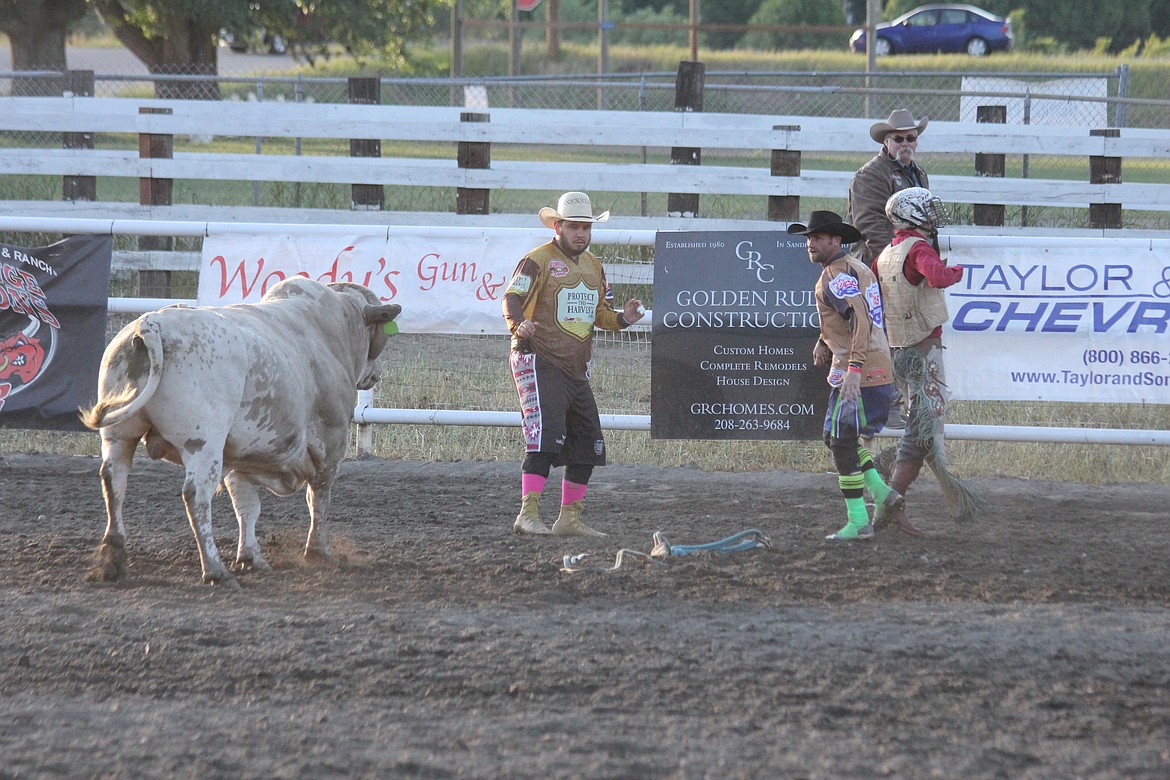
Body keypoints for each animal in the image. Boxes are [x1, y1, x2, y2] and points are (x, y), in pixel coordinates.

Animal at [81, 277, 402, 589]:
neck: (333, 328)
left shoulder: (239, 456)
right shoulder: (331, 441)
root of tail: (151, 323)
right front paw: (318, 552)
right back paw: (215, 570)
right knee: (196, 495)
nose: (377, 374)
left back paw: (112, 558)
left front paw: (251, 556)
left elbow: (247, 505)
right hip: (203, 444)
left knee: (114, 481)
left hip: (118, 436)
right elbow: (319, 498)